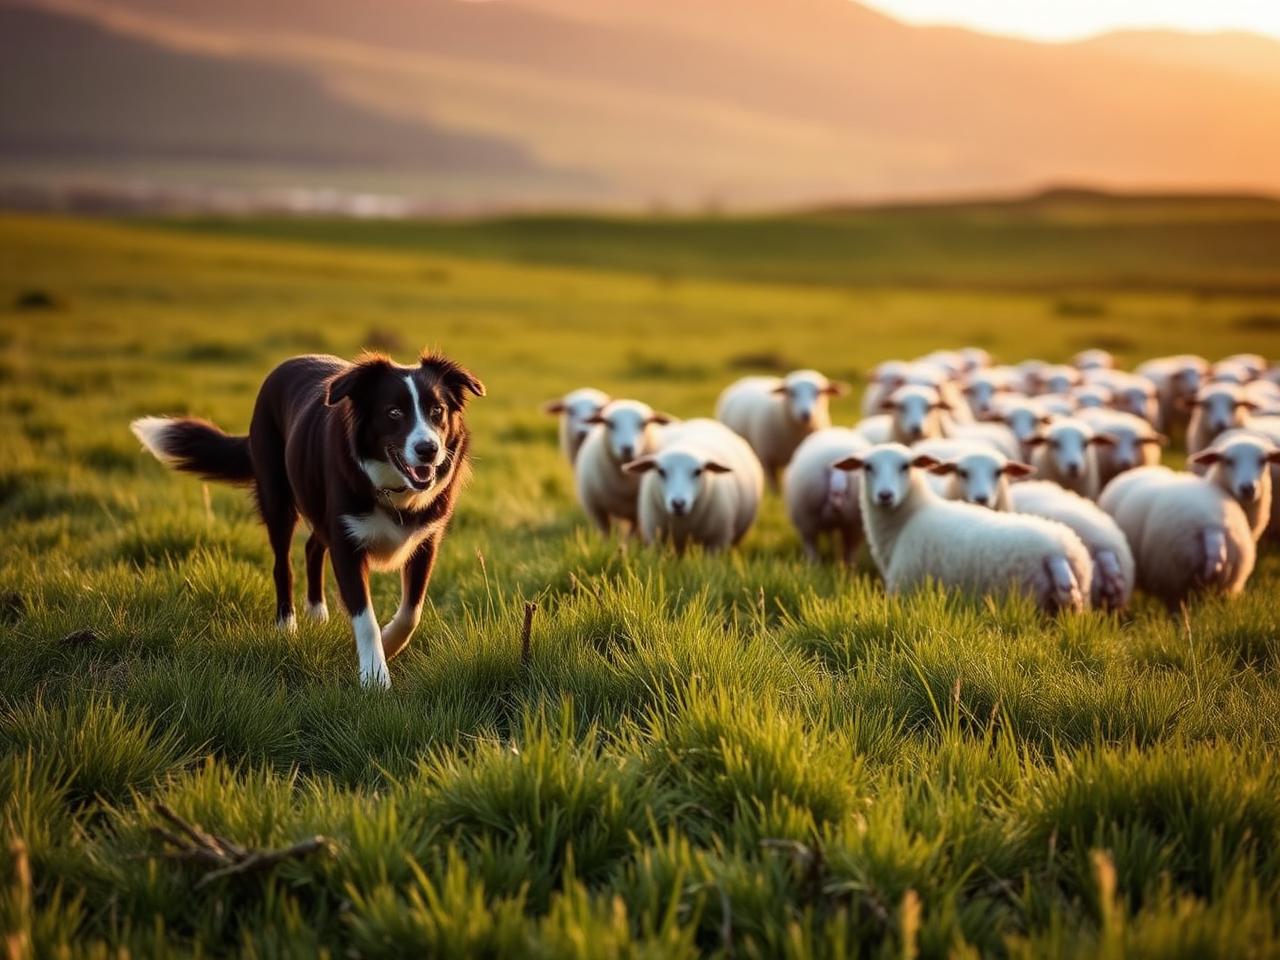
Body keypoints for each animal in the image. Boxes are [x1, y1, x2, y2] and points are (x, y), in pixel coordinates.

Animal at [574, 399, 670, 534]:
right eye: (610, 424)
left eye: (643, 424)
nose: (627, 448)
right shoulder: (597, 510)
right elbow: (607, 533)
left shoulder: (637, 514)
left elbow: (632, 534)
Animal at [625, 418, 764, 552]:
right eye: (661, 471)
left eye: (698, 471)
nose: (678, 503)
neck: (683, 524)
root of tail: (702, 421)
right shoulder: (657, 540)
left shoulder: (717, 541)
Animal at [716, 370, 848, 489]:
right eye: (792, 393)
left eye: (819, 392)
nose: (805, 414)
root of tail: (750, 378)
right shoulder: (767, 459)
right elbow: (774, 487)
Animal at [783, 428, 869, 564]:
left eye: (843, 489)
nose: (837, 499)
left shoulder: (853, 526)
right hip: (808, 521)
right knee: (812, 544)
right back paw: (815, 563)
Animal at [833, 444, 1093, 613]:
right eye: (867, 467)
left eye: (905, 466)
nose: (885, 495)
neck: (908, 519)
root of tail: (1058, 553)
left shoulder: (905, 586)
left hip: (1031, 599)